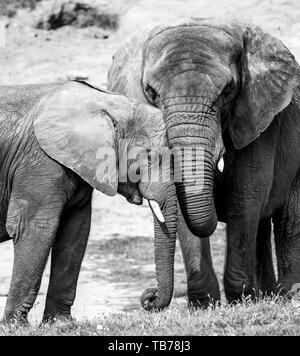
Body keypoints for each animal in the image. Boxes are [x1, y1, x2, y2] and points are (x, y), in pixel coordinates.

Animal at [0, 80, 178, 322]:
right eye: (149, 157)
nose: (150, 297)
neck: (105, 103)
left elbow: (76, 230)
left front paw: (60, 323)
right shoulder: (40, 162)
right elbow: (35, 229)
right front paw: (16, 325)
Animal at [108, 18, 300, 304]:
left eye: (228, 91)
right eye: (151, 92)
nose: (149, 297)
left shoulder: (258, 120)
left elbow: (245, 196)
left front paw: (240, 299)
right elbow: (184, 208)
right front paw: (203, 304)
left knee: (289, 222)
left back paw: (287, 295)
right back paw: (266, 296)